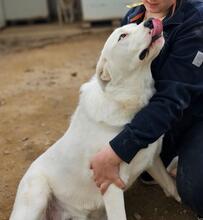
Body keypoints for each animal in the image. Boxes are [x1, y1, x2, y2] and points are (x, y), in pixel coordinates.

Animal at [10, 18, 180, 220]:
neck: (126, 100)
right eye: (122, 36)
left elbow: (172, 187)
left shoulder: (152, 160)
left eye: (137, 24)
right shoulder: (111, 183)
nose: (150, 21)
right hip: (37, 193)